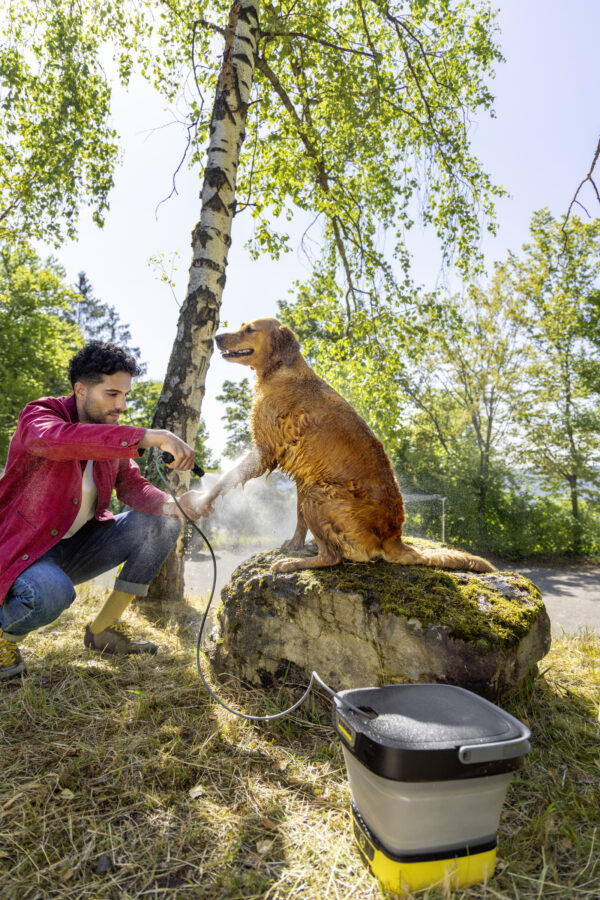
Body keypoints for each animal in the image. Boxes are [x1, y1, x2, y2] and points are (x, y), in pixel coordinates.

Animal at [193, 318, 496, 576]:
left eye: (249, 329)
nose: (217, 337)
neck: (280, 369)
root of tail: (394, 537)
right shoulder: (302, 474)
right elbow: (298, 518)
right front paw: (295, 543)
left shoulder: (266, 450)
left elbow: (227, 477)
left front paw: (203, 498)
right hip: (313, 489)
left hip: (319, 495)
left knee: (333, 557)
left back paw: (293, 564)